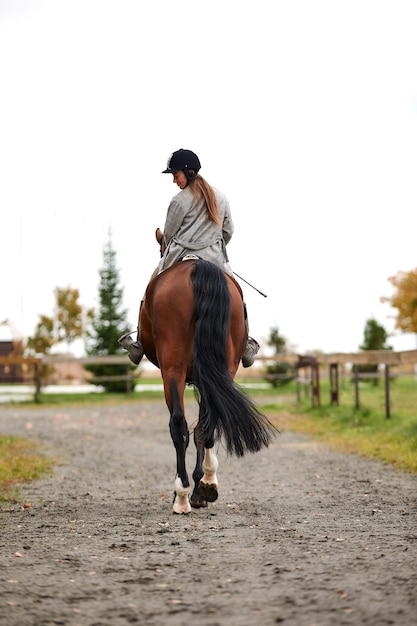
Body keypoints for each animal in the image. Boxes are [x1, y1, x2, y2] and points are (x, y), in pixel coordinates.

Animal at [139, 256, 276, 510]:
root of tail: (197, 267)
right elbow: (204, 427)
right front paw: (203, 486)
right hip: (221, 367)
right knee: (204, 426)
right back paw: (203, 485)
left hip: (173, 368)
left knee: (180, 425)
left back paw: (182, 495)